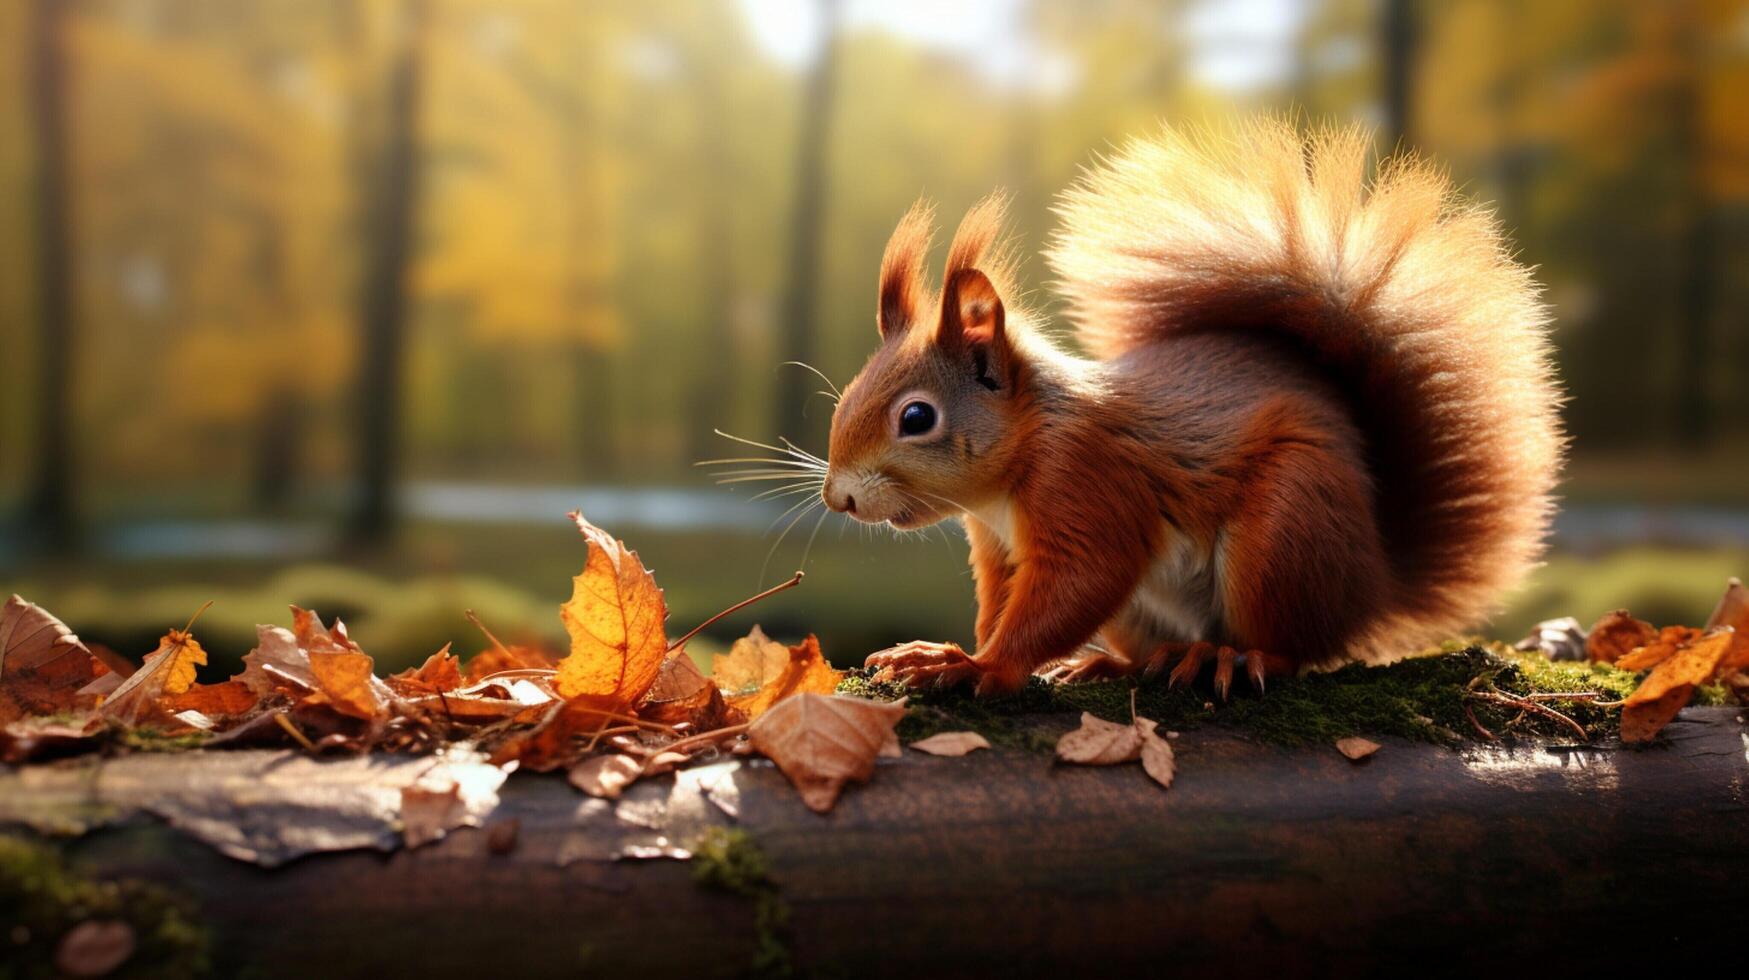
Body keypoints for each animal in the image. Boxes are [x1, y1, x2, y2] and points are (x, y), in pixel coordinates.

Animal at [825, 120, 1567, 696]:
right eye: (845, 400)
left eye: (916, 418)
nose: (838, 499)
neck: (1025, 451)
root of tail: (1374, 587)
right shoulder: (1000, 545)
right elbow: (1000, 600)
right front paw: (949, 650)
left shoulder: (1089, 488)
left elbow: (1073, 587)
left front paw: (980, 668)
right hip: (1150, 605)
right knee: (1156, 647)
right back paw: (1117, 666)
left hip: (1286, 529)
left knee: (1293, 649)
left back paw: (1230, 657)